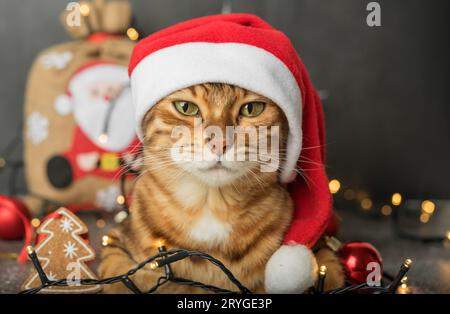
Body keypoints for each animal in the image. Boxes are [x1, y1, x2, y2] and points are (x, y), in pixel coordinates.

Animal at [99, 83, 344, 292]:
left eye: (252, 109)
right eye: (186, 107)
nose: (220, 143)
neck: (211, 205)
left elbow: (330, 268)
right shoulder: (116, 239)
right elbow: (118, 273)